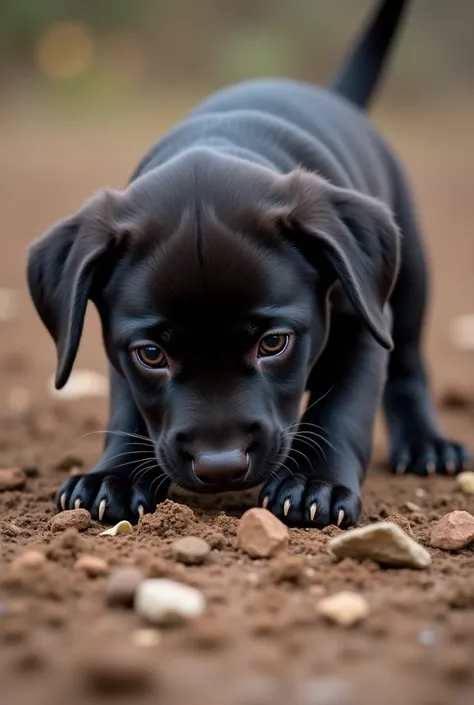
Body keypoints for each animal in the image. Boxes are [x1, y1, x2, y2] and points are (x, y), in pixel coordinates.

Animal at [26, 0, 470, 524]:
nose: (220, 466)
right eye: (152, 354)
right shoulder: (121, 348)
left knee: (409, 364)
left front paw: (315, 483)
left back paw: (426, 445)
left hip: (409, 273)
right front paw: (113, 475)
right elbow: (128, 409)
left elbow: (343, 409)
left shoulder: (362, 321)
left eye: (273, 343)